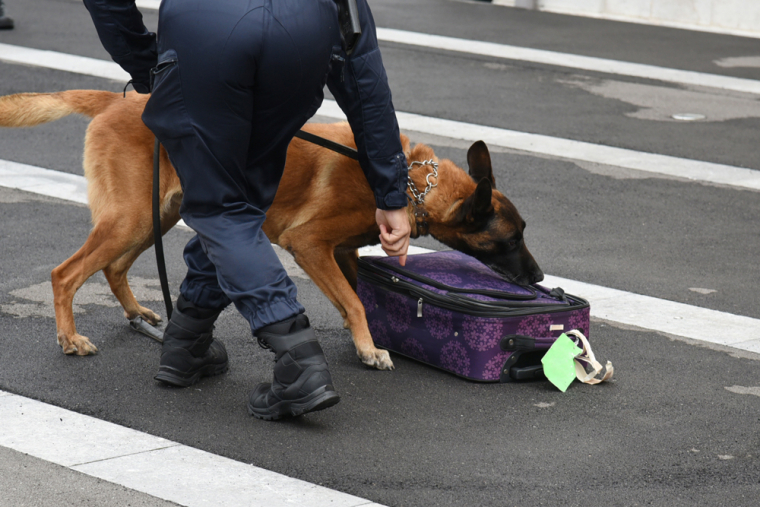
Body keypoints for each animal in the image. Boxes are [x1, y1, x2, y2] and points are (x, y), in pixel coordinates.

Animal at [1, 90, 548, 370]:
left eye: (524, 233)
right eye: (512, 240)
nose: (540, 278)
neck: (414, 183)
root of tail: (117, 99)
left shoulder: (343, 253)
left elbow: (356, 297)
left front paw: (365, 337)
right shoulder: (309, 245)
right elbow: (353, 302)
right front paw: (369, 347)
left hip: (155, 216)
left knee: (113, 267)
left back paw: (137, 313)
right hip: (133, 218)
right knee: (65, 273)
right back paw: (70, 339)